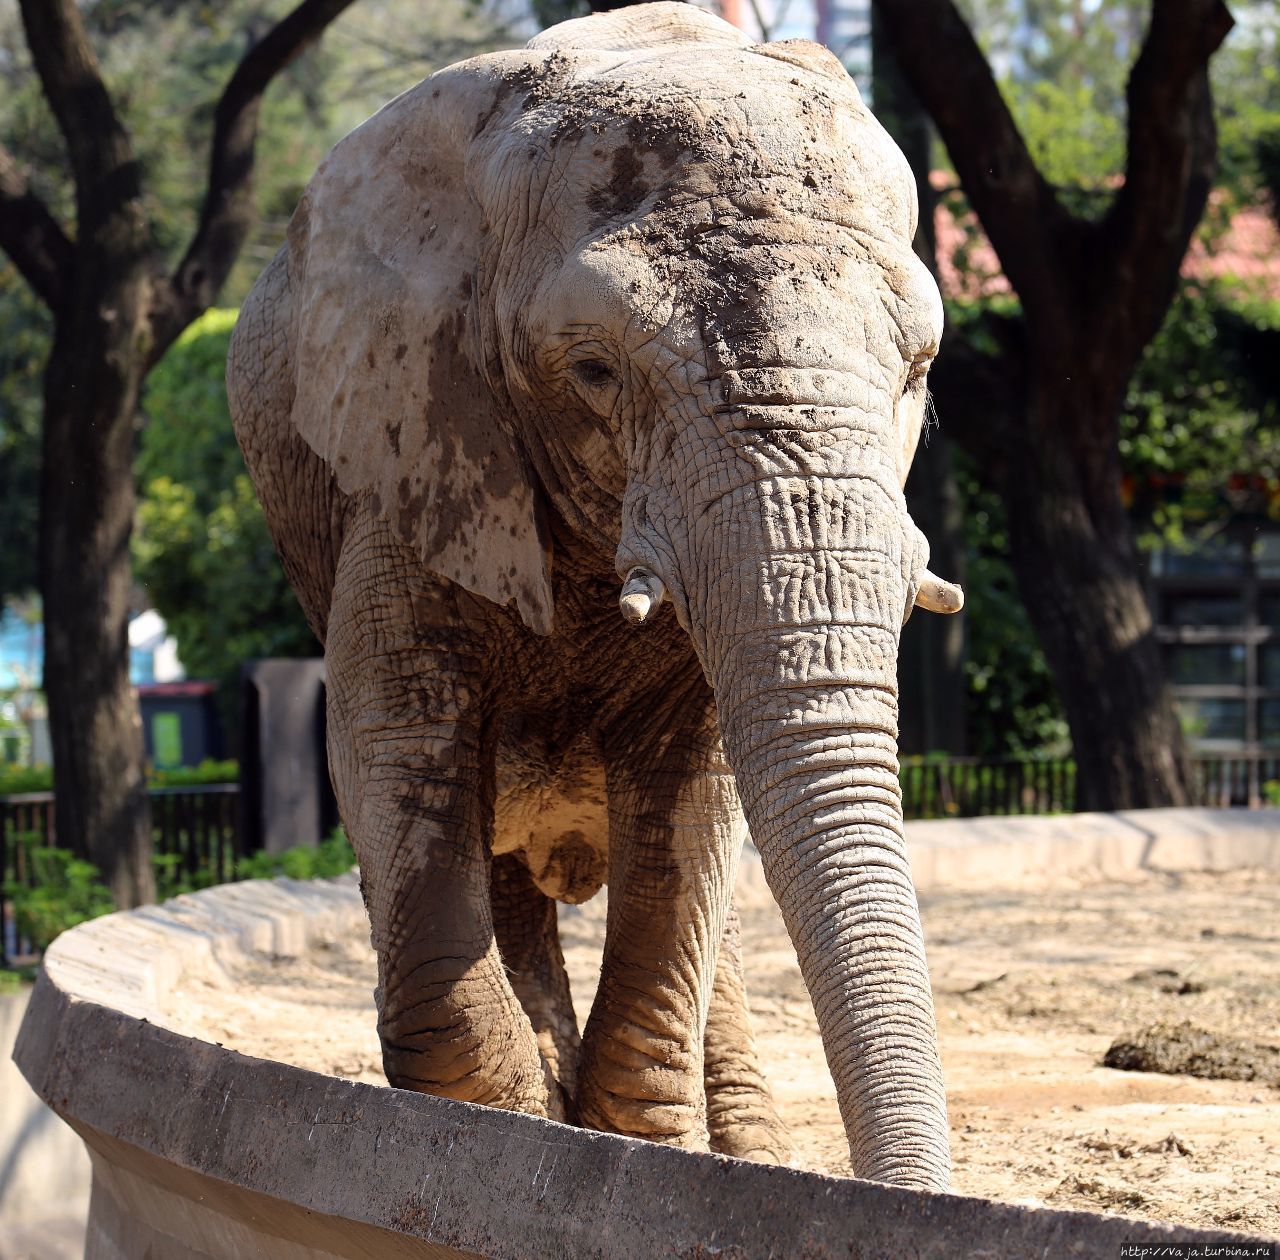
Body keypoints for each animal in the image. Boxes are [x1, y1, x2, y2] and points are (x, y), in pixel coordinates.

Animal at [227, 0, 962, 1193]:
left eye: (918, 367)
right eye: (594, 372)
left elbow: (693, 797)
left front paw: (624, 1141)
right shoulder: (409, 443)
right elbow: (391, 745)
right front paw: (517, 1129)